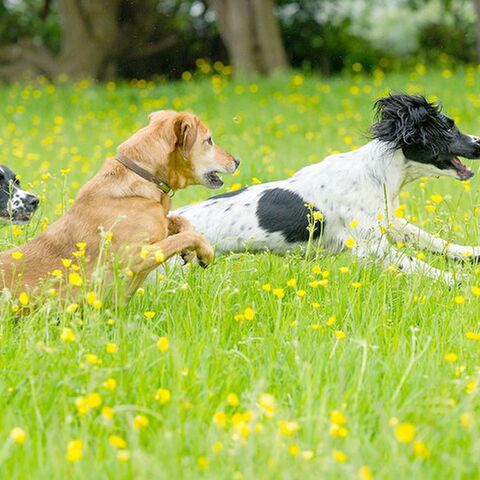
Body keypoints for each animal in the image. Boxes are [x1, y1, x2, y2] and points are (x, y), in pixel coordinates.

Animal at [173, 95, 480, 284]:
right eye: (448, 129)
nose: (478, 142)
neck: (376, 172)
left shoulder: (389, 222)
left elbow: (429, 239)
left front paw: (471, 254)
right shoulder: (371, 247)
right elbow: (415, 262)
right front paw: (456, 280)